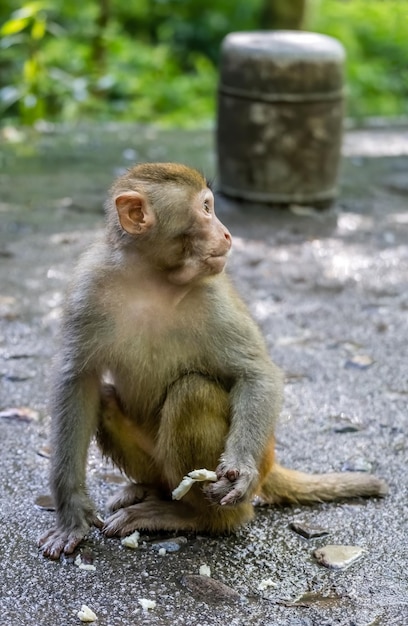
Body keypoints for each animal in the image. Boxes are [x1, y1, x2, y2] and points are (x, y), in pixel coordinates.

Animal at [39, 163, 388, 560]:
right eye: (206, 209)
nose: (226, 232)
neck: (152, 278)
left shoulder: (213, 295)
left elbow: (256, 374)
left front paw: (240, 466)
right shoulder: (88, 288)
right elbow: (77, 383)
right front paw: (72, 515)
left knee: (193, 392)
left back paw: (194, 517)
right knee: (107, 398)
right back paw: (149, 489)